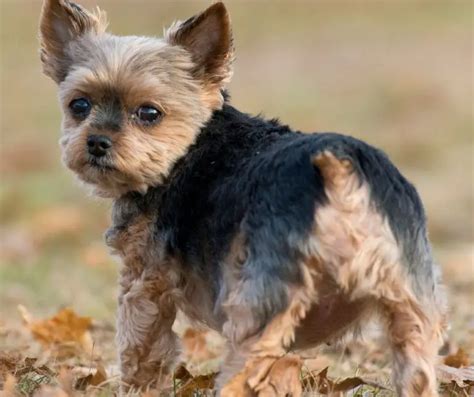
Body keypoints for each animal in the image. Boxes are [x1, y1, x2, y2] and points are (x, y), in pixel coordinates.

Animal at [39, 1, 446, 394]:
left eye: (149, 112)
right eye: (79, 105)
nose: (96, 142)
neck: (192, 144)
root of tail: (342, 170)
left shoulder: (145, 283)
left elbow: (141, 351)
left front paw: (137, 389)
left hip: (259, 308)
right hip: (412, 305)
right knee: (418, 369)